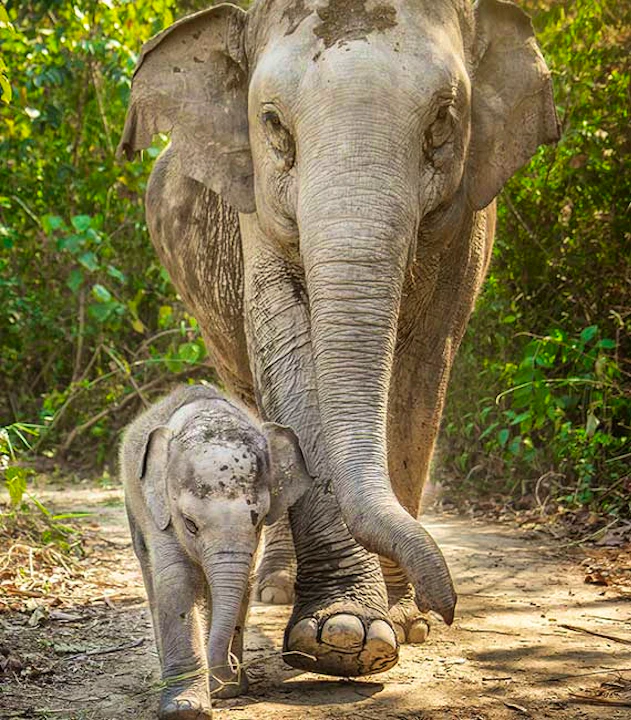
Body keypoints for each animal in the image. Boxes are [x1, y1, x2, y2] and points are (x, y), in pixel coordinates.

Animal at [118, 0, 559, 679]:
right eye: (273, 123)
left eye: (443, 120)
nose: (446, 606)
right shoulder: (255, 217)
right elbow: (289, 355)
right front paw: (341, 635)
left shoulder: (468, 219)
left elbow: (420, 375)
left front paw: (403, 622)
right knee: (250, 393)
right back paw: (276, 586)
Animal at [120, 384, 312, 718]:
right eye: (190, 524)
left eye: (259, 521)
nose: (230, 669)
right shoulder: (160, 513)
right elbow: (176, 580)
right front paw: (185, 709)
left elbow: (243, 584)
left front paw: (227, 690)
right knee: (148, 567)